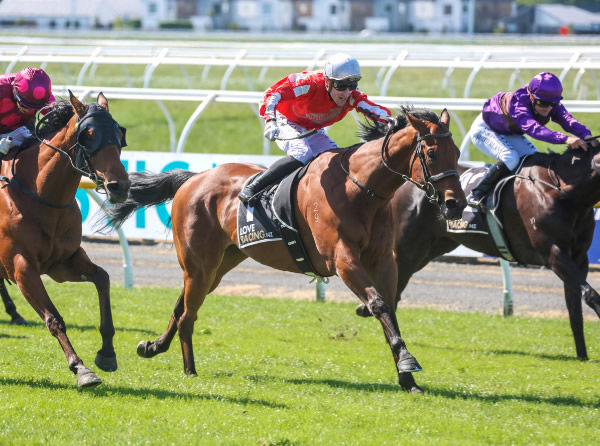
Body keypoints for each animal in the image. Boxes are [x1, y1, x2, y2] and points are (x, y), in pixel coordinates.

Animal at [0, 91, 131, 386]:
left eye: (119, 133)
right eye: (89, 134)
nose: (119, 186)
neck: (40, 195)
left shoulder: (63, 262)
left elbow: (103, 278)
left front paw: (107, 353)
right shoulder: (21, 267)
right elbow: (53, 318)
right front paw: (81, 368)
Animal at [105, 106, 466, 392]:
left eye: (458, 154)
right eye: (431, 154)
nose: (456, 204)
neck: (361, 189)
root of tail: (193, 178)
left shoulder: (383, 260)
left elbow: (389, 306)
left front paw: (407, 377)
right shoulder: (342, 258)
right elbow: (378, 304)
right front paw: (407, 361)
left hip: (220, 262)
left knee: (183, 304)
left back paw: (153, 346)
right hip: (199, 261)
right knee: (188, 314)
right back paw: (189, 370)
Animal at [358, 138, 600, 364]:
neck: (561, 191)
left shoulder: (579, 258)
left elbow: (576, 307)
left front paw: (582, 355)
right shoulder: (554, 253)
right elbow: (590, 294)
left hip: (430, 249)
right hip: (407, 248)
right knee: (395, 283)